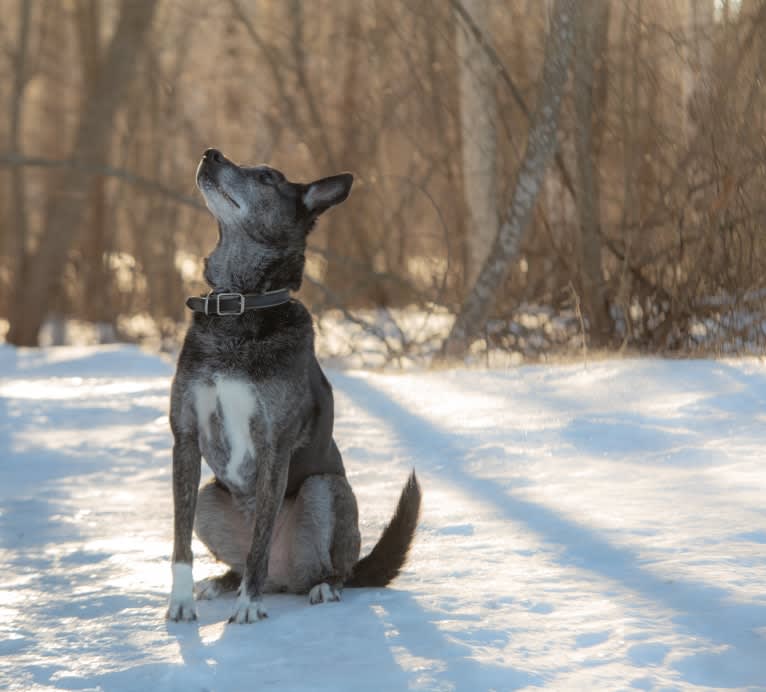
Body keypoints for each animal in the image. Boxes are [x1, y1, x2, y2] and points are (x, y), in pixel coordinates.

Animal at [164, 149, 424, 624]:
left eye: (266, 177)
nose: (211, 153)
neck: (241, 306)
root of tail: (285, 578)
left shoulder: (273, 444)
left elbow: (260, 544)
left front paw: (248, 607)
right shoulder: (185, 438)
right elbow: (179, 542)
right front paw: (180, 602)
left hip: (324, 489)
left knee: (329, 570)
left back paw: (320, 587)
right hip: (210, 497)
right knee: (240, 556)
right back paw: (221, 583)